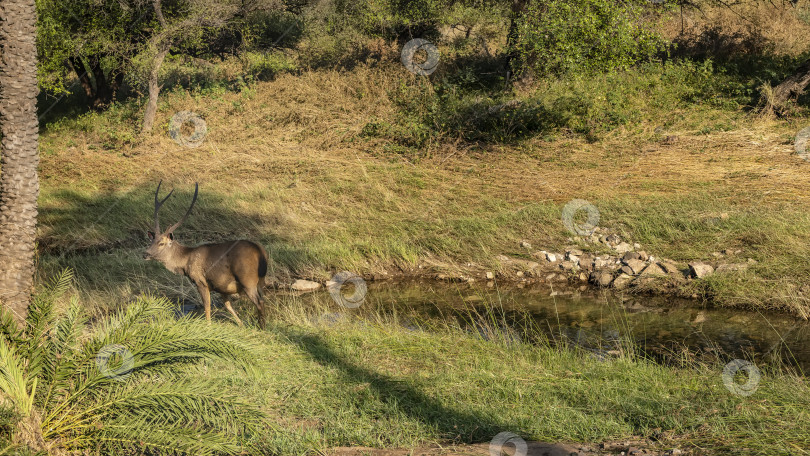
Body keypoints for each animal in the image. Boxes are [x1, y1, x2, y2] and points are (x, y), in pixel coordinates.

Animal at [145, 181, 268, 328]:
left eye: (162, 243)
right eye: (152, 241)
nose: (146, 253)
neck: (185, 262)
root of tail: (260, 251)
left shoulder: (200, 280)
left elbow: (207, 307)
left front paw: (208, 327)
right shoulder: (221, 286)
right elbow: (228, 305)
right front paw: (242, 325)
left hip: (247, 279)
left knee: (260, 302)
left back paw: (262, 326)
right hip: (261, 280)